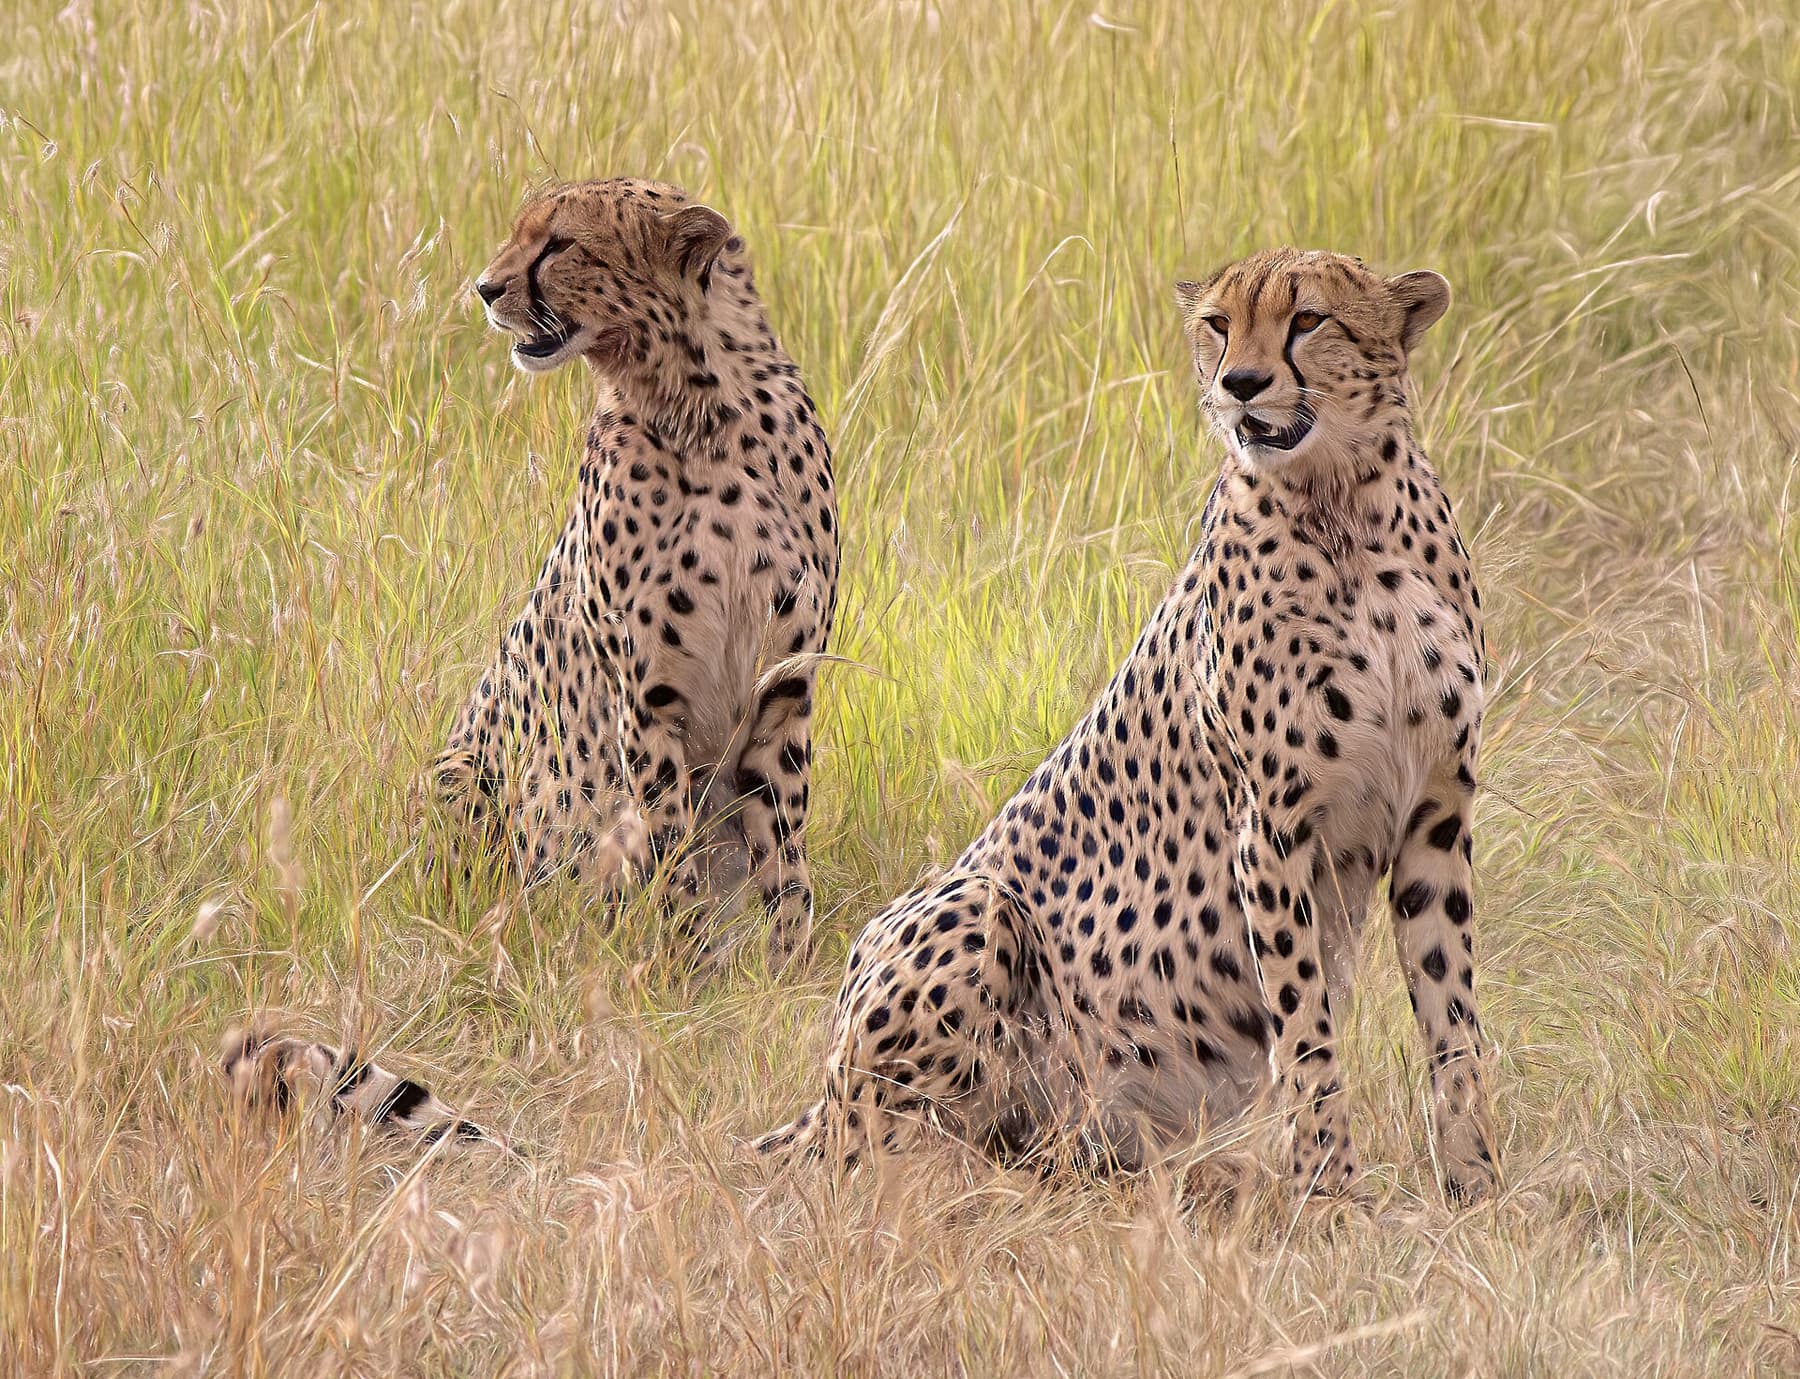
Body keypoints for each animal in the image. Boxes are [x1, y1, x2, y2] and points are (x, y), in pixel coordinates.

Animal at [753, 248, 1501, 1207]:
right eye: (1220, 323)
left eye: (1308, 320)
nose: (1239, 385)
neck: (1346, 506)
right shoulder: (1271, 827)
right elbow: (1305, 1027)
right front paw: (1330, 1190)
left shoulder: (1435, 815)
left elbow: (1453, 1017)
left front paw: (1475, 1185)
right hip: (972, 908)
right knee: (871, 1150)